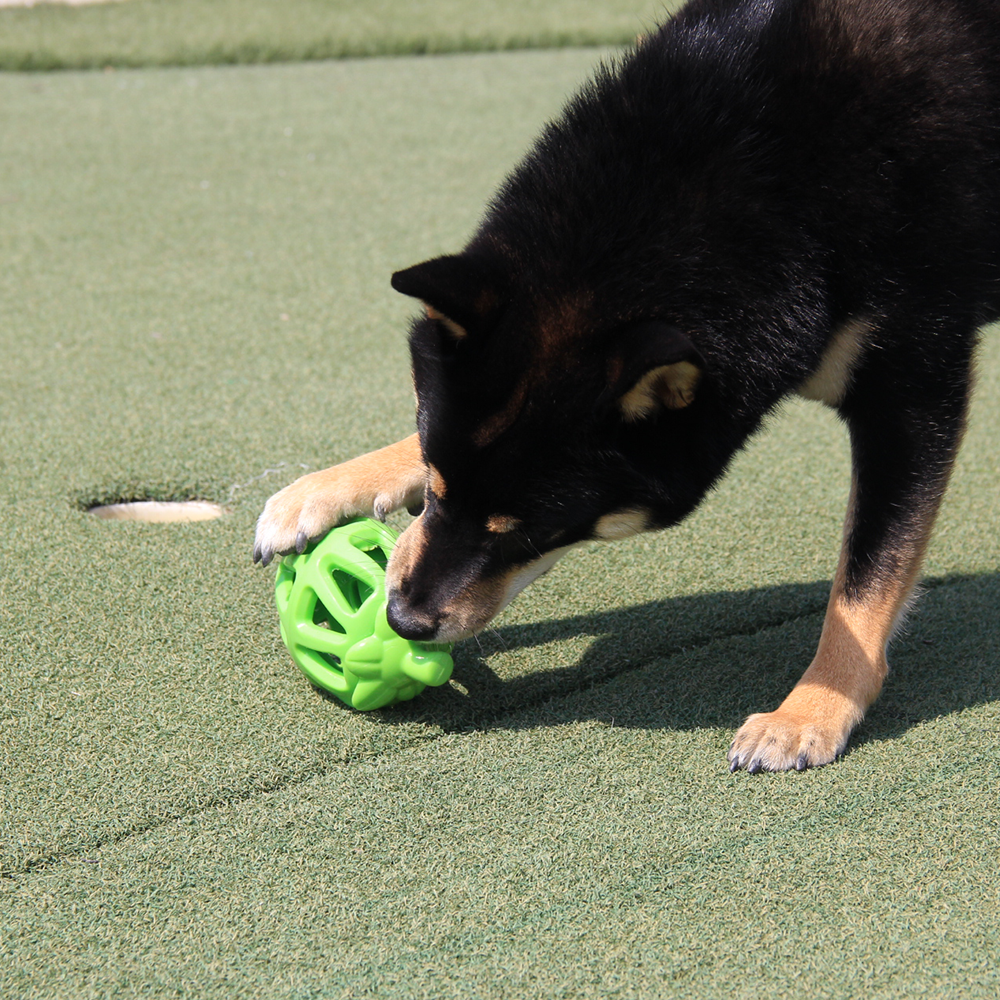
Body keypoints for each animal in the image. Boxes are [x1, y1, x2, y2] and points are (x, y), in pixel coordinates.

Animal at [252, 0, 1000, 772]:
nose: (400, 618)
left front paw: (812, 709)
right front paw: (332, 487)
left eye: (535, 531)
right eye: (432, 486)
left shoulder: (913, 386)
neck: (777, 170)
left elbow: (867, 574)